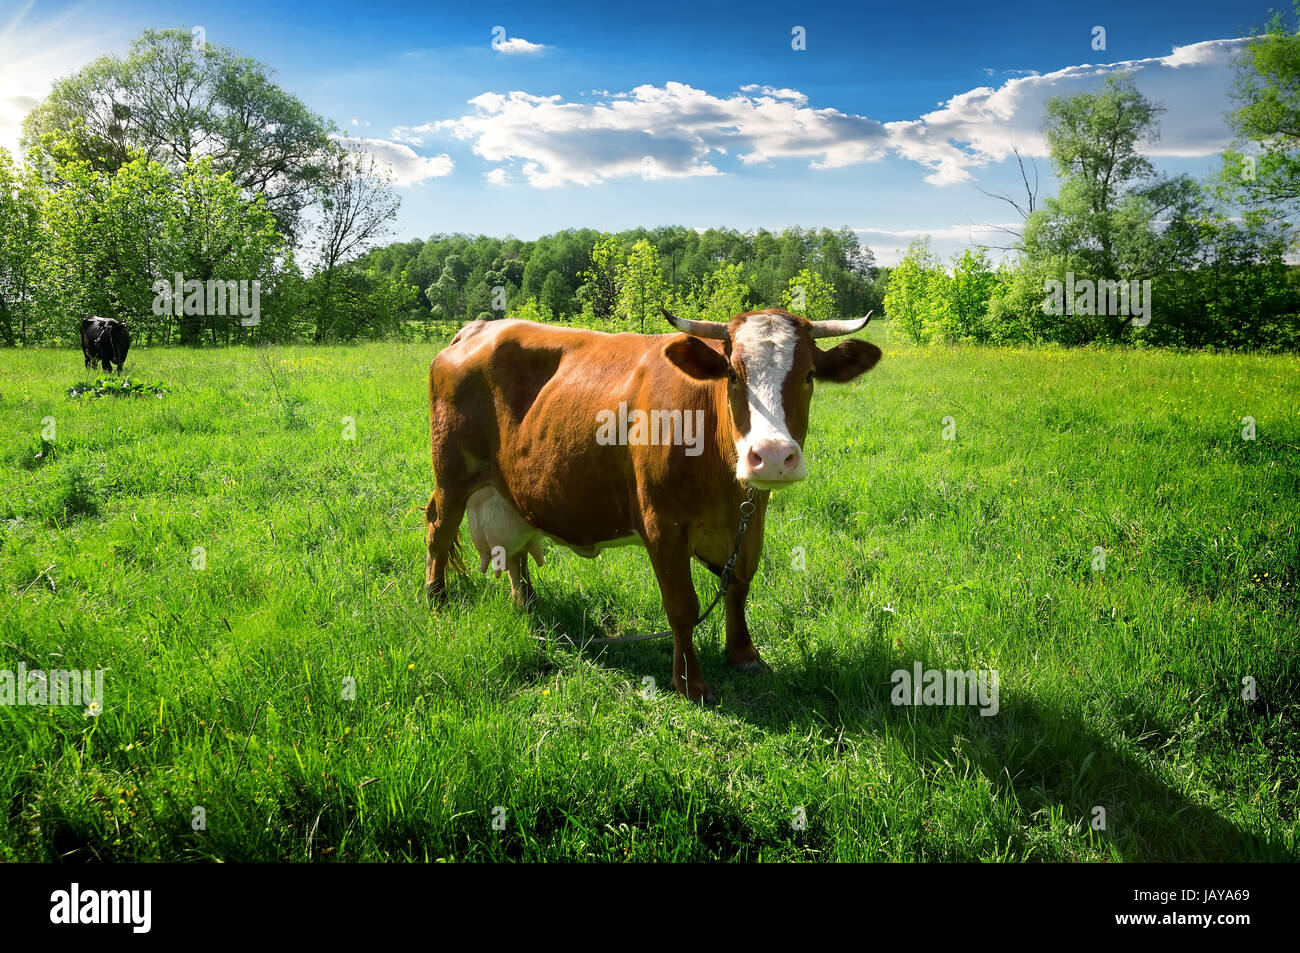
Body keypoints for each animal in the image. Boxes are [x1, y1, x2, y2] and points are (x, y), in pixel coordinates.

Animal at [424, 308, 882, 704]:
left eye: (809, 375)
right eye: (733, 374)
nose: (770, 456)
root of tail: (479, 328)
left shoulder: (751, 523)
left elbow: (738, 587)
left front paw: (743, 654)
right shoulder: (661, 526)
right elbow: (682, 607)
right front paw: (690, 683)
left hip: (510, 487)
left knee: (514, 549)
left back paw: (527, 603)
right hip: (451, 472)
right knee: (438, 529)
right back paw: (436, 598)